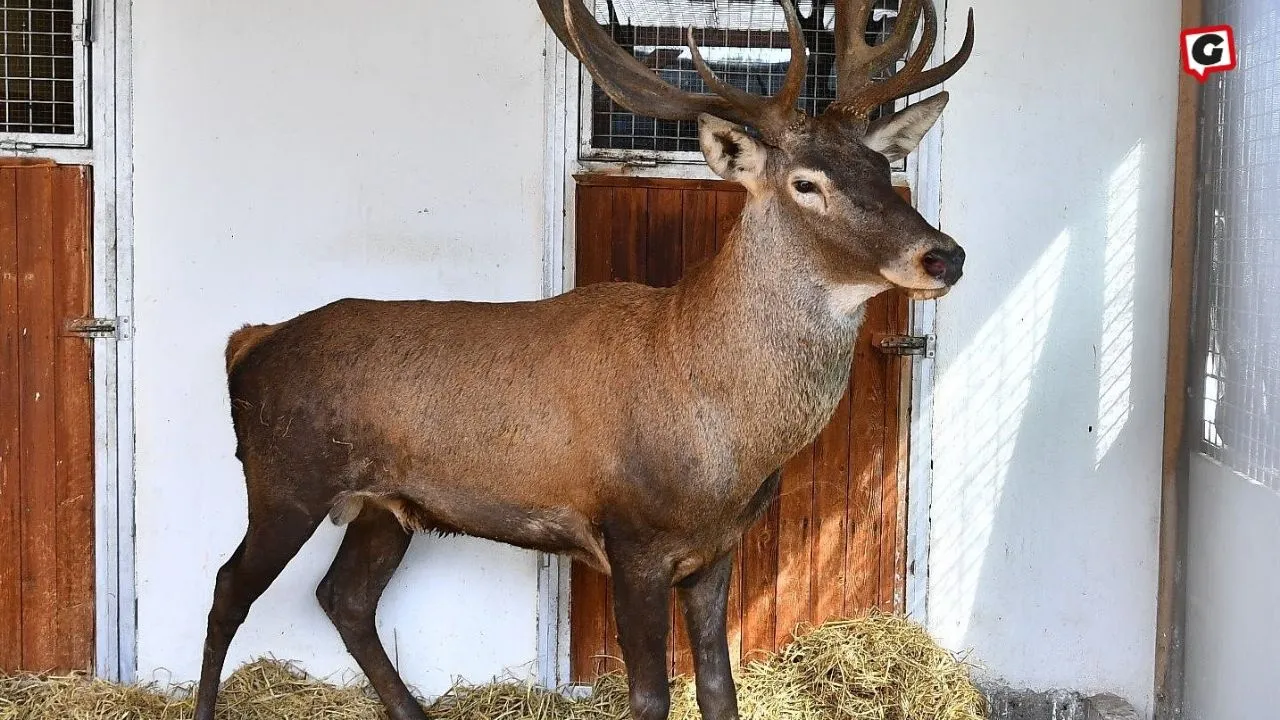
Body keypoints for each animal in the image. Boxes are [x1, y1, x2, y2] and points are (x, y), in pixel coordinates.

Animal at [186, 1, 967, 717]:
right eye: (806, 183)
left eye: (881, 167)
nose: (944, 255)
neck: (724, 439)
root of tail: (247, 341)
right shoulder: (632, 537)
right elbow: (650, 697)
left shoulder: (719, 549)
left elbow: (719, 690)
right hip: (285, 477)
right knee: (229, 587)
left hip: (384, 506)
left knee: (343, 597)